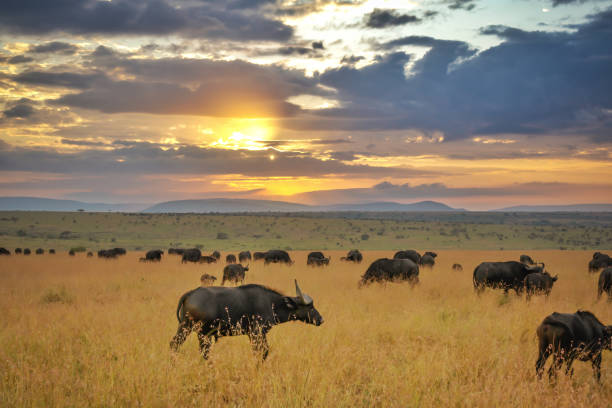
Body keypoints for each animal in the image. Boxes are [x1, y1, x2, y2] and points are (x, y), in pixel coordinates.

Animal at [170, 280, 322, 360]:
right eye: (310, 306)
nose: (321, 319)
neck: (271, 303)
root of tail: (191, 293)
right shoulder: (257, 333)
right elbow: (262, 351)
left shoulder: (254, 334)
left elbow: (263, 351)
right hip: (197, 331)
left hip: (192, 331)